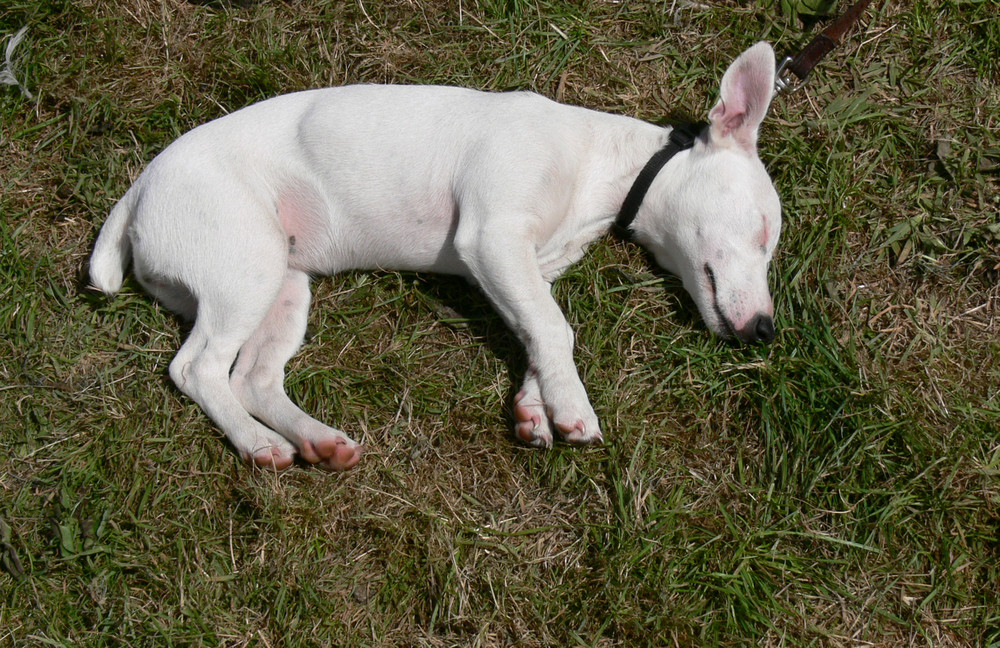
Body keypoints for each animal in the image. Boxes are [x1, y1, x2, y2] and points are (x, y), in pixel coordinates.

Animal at [90, 41, 780, 470]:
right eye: (763, 231)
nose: (766, 332)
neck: (600, 168)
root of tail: (138, 191)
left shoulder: (520, 267)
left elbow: (542, 334)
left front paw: (537, 409)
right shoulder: (494, 237)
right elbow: (557, 330)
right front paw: (573, 411)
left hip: (284, 287)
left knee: (251, 378)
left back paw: (317, 441)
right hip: (245, 270)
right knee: (196, 369)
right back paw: (257, 445)